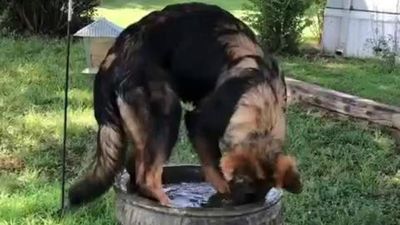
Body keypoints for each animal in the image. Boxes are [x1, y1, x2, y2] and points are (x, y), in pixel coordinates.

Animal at [68, 1, 300, 207]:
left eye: (259, 196)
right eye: (247, 190)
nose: (238, 204)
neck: (264, 92)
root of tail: (112, 58)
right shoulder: (201, 121)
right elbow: (213, 164)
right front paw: (222, 187)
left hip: (141, 129)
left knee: (136, 168)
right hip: (167, 113)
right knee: (147, 177)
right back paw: (167, 204)